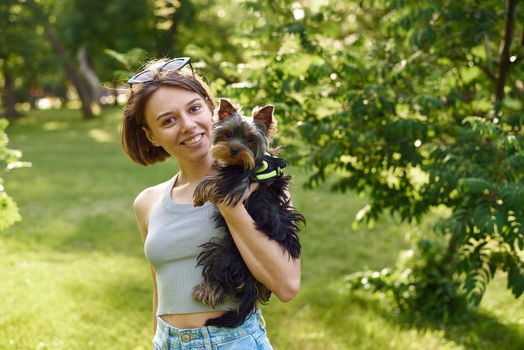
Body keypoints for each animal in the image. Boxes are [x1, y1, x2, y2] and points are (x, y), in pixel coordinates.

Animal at [192, 98, 304, 328]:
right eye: (227, 134)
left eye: (250, 139)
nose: (234, 149)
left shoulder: (238, 184)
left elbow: (212, 181)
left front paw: (199, 194)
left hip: (222, 252)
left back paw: (205, 291)